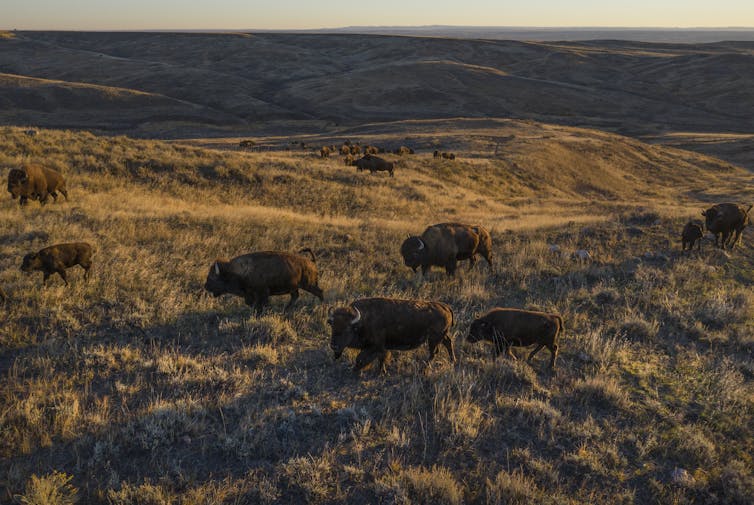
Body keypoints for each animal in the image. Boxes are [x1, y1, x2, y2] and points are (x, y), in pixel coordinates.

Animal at [324, 298, 452, 372]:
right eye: (332, 326)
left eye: (347, 329)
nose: (334, 345)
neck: (362, 321)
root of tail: (445, 307)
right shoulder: (379, 348)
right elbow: (379, 358)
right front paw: (381, 371)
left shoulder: (376, 346)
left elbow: (362, 358)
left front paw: (359, 370)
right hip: (440, 337)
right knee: (448, 343)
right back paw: (452, 361)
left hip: (433, 339)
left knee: (434, 352)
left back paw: (423, 369)